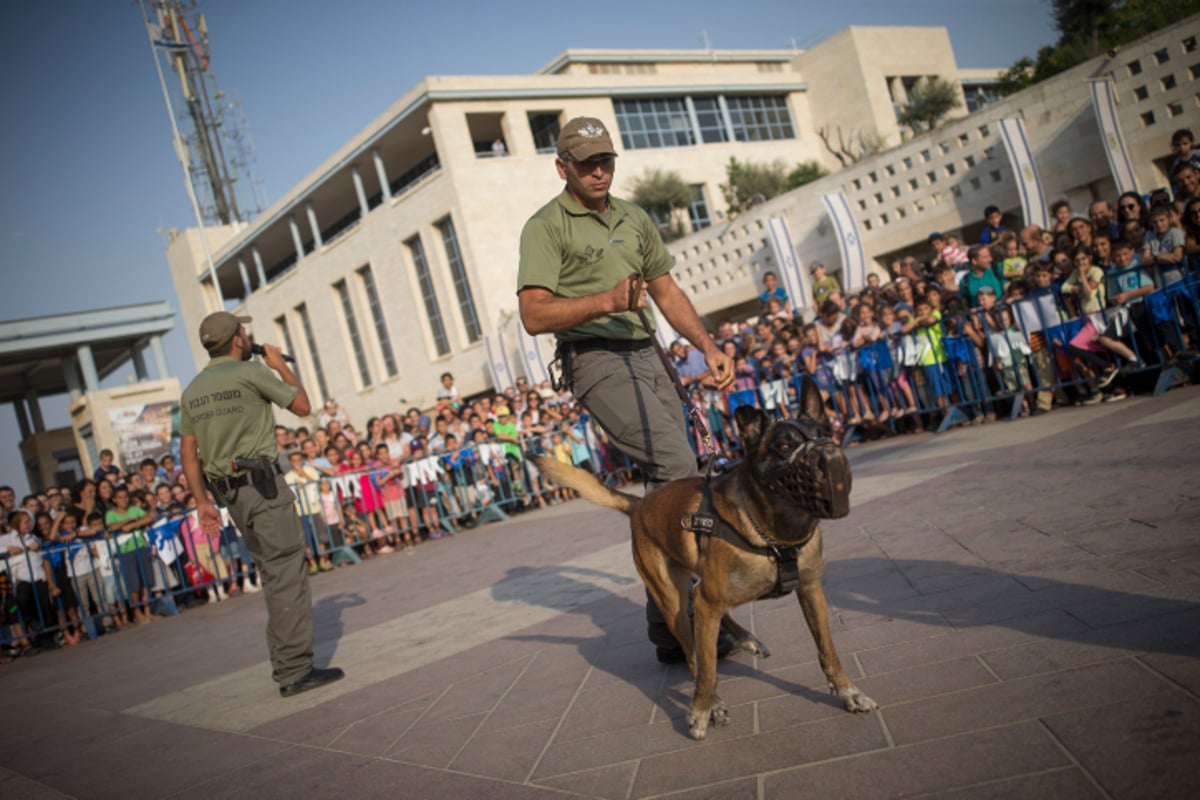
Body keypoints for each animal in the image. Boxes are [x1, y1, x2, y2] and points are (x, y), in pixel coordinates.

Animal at [535, 379, 873, 743]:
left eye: (826, 433)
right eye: (784, 445)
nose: (830, 456)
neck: (772, 535)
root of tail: (639, 506)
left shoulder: (810, 590)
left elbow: (828, 650)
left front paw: (848, 692)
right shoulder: (709, 602)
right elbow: (708, 669)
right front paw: (701, 710)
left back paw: (745, 639)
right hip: (673, 602)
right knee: (693, 654)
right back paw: (713, 700)